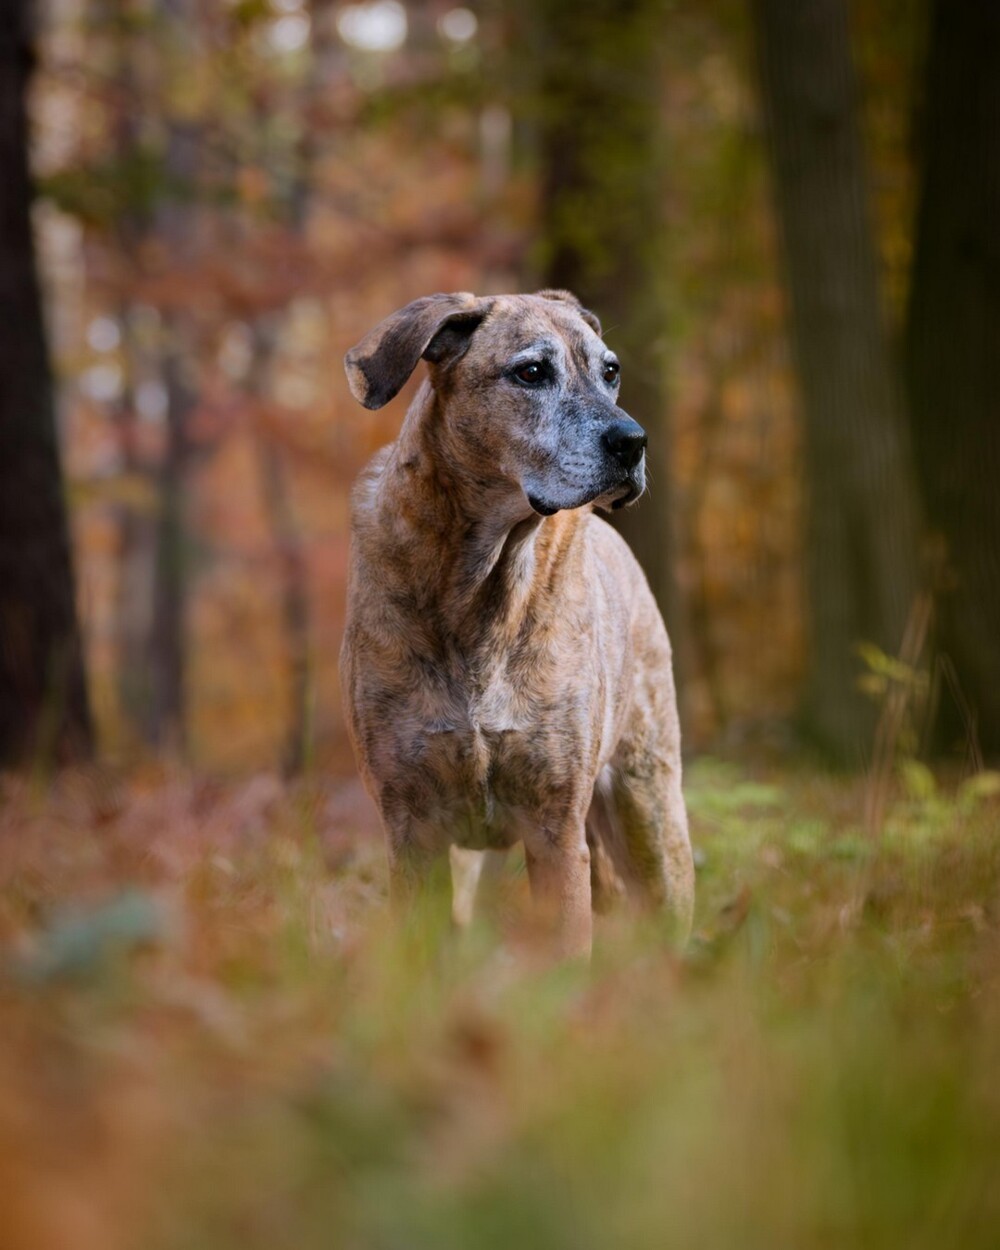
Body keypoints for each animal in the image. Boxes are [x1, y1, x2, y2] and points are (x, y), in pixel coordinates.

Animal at [340, 292, 690, 955]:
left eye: (611, 371)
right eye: (530, 372)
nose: (634, 442)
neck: (484, 584)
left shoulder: (557, 831)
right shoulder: (412, 828)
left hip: (650, 808)